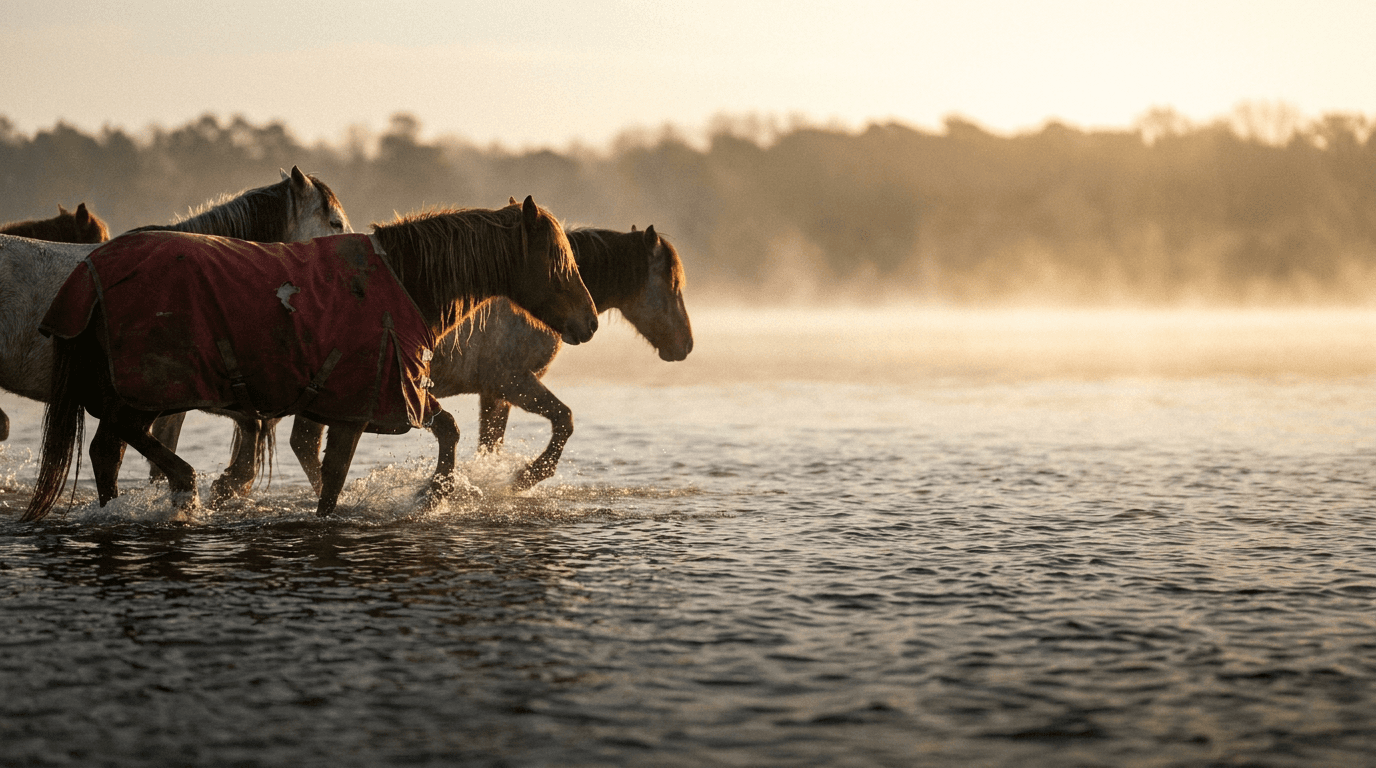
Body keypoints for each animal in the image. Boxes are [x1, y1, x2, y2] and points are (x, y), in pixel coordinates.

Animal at [22, 196, 598, 522]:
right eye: (557, 259)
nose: (589, 322)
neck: (399, 282)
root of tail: (91, 274)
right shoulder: (363, 403)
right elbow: (338, 473)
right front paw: (426, 495)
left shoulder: (372, 399)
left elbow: (444, 432)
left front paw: (432, 495)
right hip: (152, 387)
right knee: (115, 439)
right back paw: (186, 486)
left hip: (147, 391)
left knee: (107, 448)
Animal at [287, 222, 692, 493]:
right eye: (672, 285)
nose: (685, 345)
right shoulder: (513, 382)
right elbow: (564, 420)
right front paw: (525, 477)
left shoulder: (495, 394)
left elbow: (490, 445)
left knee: (304, 443)